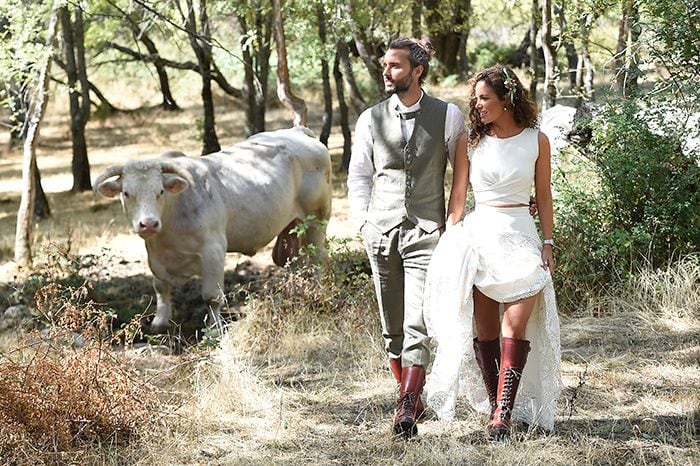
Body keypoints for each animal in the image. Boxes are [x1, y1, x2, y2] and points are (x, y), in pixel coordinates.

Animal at [94, 127, 332, 332]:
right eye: (126, 193)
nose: (149, 223)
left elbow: (211, 296)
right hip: (293, 227)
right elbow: (160, 287)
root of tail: (298, 131)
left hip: (317, 219)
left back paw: (317, 291)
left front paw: (214, 328)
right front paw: (159, 323)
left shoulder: (213, 250)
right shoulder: (155, 255)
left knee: (318, 257)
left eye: (160, 191)